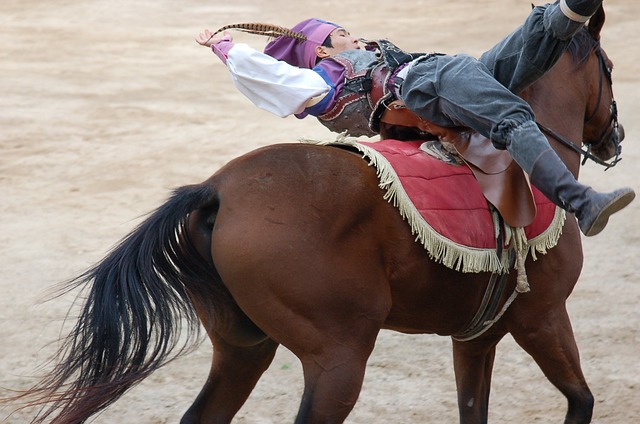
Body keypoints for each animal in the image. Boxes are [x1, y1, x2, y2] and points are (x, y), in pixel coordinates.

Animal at [12, 9, 624, 424]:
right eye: (611, 67)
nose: (614, 136)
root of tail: (216, 191)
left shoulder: (475, 337)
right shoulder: (542, 317)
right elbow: (581, 400)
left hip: (243, 347)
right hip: (337, 357)